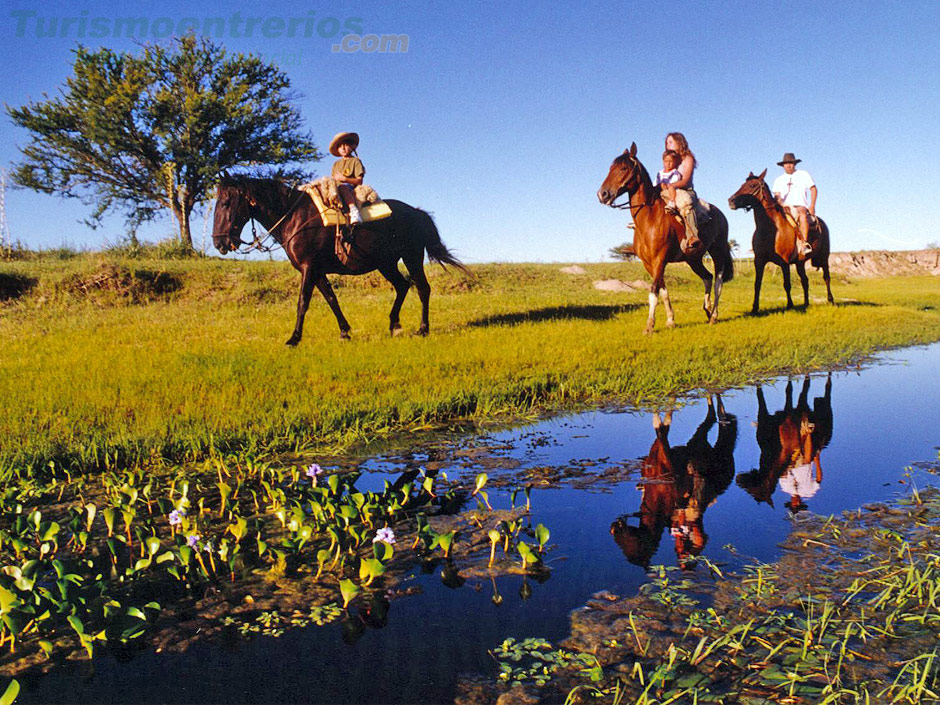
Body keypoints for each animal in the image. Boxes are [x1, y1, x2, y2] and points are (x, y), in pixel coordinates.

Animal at [209, 177, 466, 346]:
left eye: (225, 203)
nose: (219, 242)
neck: (294, 217)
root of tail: (417, 212)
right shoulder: (317, 271)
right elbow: (332, 299)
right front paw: (345, 332)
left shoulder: (308, 268)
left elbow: (302, 302)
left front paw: (294, 338)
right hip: (386, 263)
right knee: (403, 285)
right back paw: (394, 325)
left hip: (412, 257)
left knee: (422, 288)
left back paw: (423, 329)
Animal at [600, 142, 740, 332]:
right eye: (610, 168)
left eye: (623, 168)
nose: (602, 194)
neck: (649, 218)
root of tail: (720, 214)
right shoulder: (649, 263)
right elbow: (662, 290)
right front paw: (670, 321)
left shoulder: (659, 259)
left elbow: (653, 292)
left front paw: (649, 326)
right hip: (693, 259)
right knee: (707, 277)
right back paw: (707, 309)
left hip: (717, 252)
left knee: (718, 281)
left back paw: (714, 316)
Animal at [724, 169, 832, 312]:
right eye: (743, 184)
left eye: (752, 185)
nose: (731, 200)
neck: (770, 229)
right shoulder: (759, 261)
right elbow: (757, 284)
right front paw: (754, 308)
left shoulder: (784, 262)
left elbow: (787, 284)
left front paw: (790, 305)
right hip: (800, 263)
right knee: (805, 280)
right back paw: (806, 303)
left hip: (824, 257)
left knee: (826, 277)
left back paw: (831, 300)